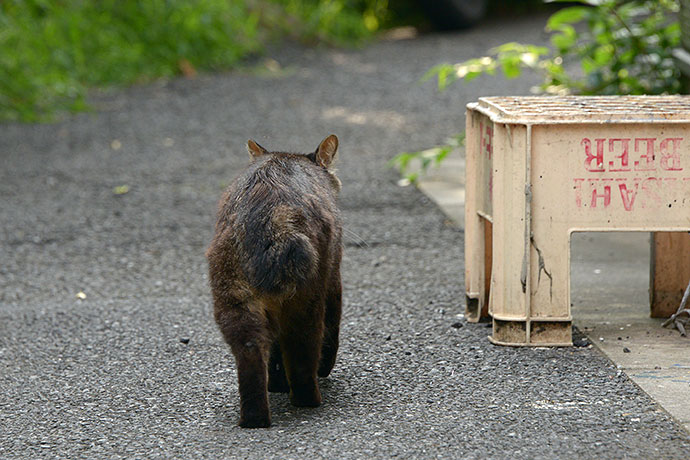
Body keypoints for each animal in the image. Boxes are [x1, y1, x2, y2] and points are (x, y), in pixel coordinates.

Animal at [206, 133, 342, 428]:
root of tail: (273, 219)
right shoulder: (334, 275)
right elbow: (331, 333)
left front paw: (277, 383)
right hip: (308, 300)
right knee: (303, 351)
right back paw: (308, 401)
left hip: (234, 302)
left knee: (252, 352)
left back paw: (255, 417)